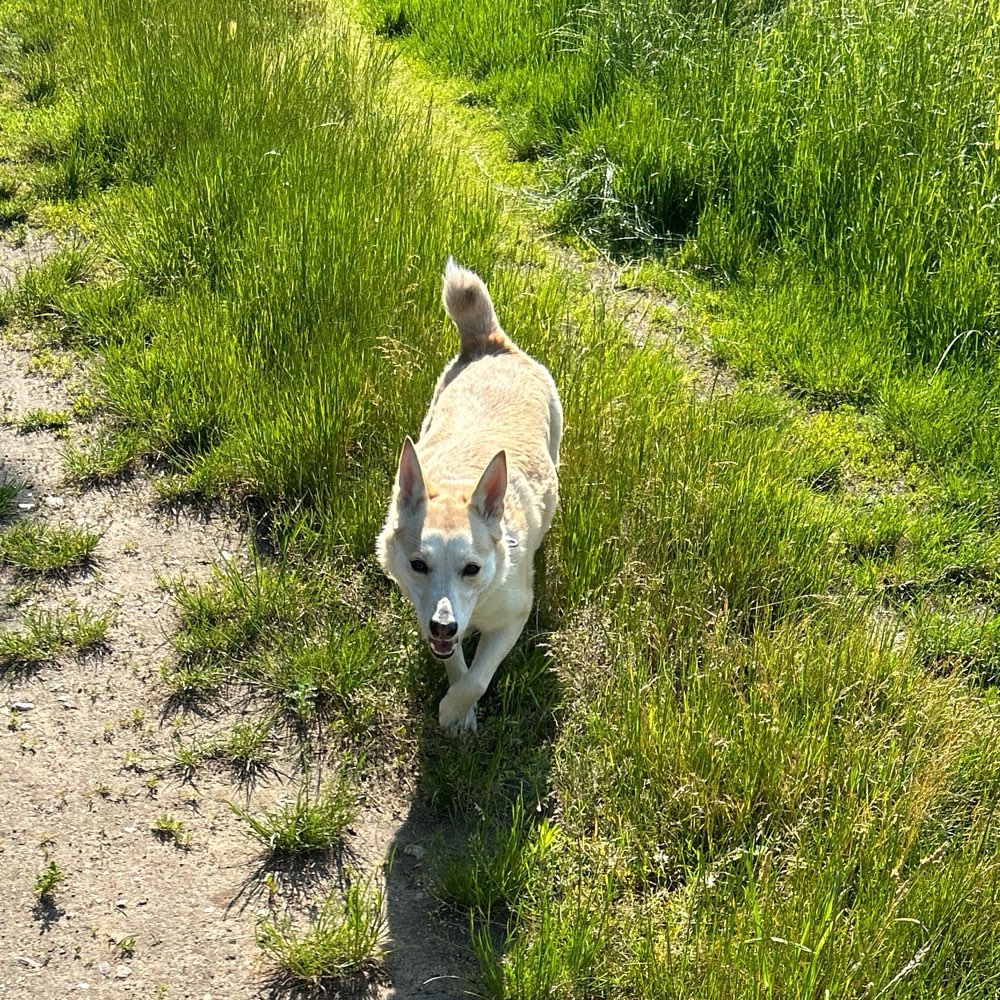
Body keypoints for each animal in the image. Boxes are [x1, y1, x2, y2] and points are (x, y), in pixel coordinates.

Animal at [376, 260, 564, 736]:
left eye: (472, 569)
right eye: (418, 565)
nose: (444, 625)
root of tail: (491, 343)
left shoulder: (513, 618)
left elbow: (479, 677)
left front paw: (452, 709)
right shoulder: (429, 616)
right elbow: (458, 666)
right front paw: (458, 712)